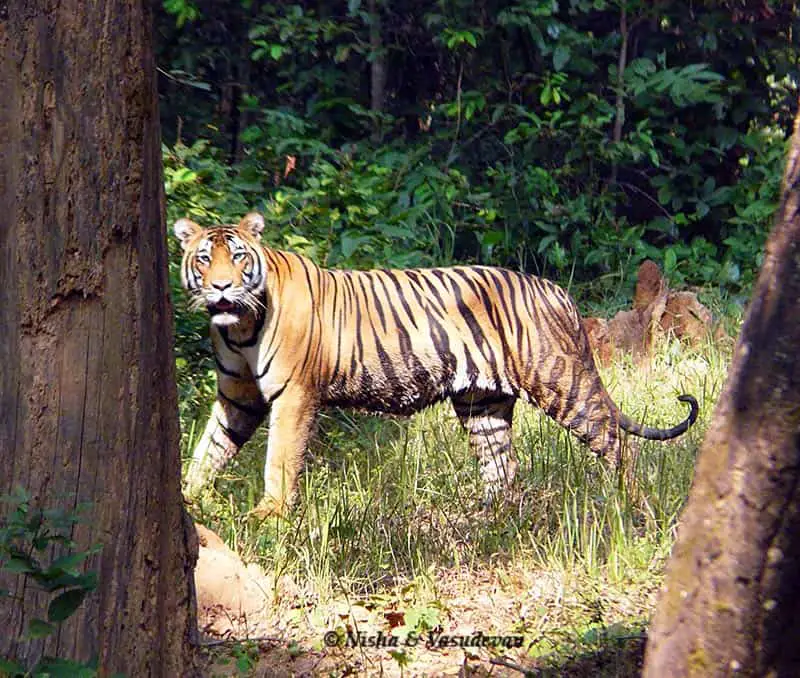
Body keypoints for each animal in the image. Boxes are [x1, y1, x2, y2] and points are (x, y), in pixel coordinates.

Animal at [177, 215, 700, 516]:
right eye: (203, 259)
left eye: (238, 257)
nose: (221, 287)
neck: (239, 327)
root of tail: (555, 290)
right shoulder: (238, 398)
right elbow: (208, 449)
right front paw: (185, 497)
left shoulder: (294, 396)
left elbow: (280, 460)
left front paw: (270, 516)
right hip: (482, 405)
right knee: (503, 469)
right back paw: (486, 524)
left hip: (560, 382)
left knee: (617, 444)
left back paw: (637, 509)